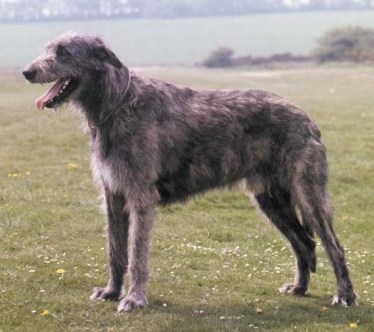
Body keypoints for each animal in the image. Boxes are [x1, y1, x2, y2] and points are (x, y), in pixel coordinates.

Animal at [23, 33, 356, 312]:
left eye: (64, 52)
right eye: (48, 48)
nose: (27, 72)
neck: (116, 104)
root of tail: (308, 119)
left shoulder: (141, 195)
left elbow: (137, 254)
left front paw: (134, 298)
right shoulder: (113, 193)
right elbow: (115, 251)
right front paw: (111, 291)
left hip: (307, 192)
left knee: (333, 244)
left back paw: (345, 295)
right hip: (270, 199)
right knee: (304, 242)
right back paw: (300, 287)